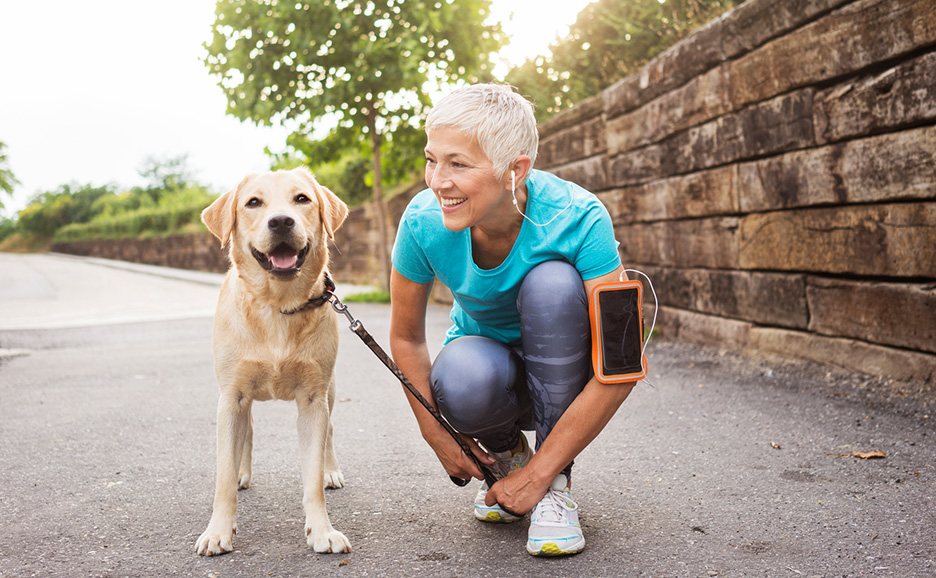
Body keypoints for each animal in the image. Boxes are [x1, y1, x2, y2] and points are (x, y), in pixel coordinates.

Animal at [194, 165, 352, 552]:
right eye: (253, 203)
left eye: (302, 199)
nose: (281, 221)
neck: (279, 306)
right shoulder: (231, 397)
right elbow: (222, 476)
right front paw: (218, 531)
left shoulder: (312, 399)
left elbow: (312, 477)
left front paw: (321, 530)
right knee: (247, 430)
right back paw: (242, 472)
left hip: (329, 389)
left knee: (330, 429)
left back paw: (330, 469)